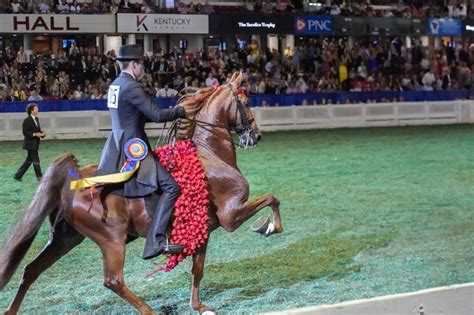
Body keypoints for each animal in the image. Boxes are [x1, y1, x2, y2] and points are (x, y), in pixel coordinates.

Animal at [0, 72, 282, 315]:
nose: (257, 136)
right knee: (113, 280)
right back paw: (149, 311)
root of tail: (74, 179)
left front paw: (199, 306)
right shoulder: (230, 215)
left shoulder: (204, 230)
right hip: (111, 240)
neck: (209, 155)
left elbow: (198, 269)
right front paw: (267, 227)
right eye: (245, 101)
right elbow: (272, 198)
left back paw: (11, 310)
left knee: (31, 270)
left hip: (65, 239)